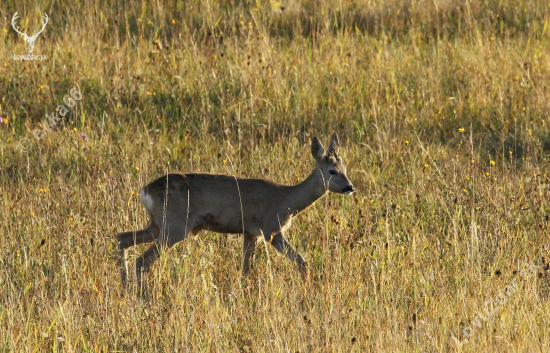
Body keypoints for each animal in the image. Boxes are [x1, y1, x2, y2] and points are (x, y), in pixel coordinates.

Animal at [118, 133, 356, 288]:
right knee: (142, 260)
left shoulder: (250, 233)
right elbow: (302, 262)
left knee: (123, 238)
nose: (350, 187)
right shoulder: (271, 229)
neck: (286, 200)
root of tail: (145, 191)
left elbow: (245, 270)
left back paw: (125, 288)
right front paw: (307, 291)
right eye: (332, 171)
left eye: (345, 169)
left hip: (158, 224)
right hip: (174, 227)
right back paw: (144, 297)